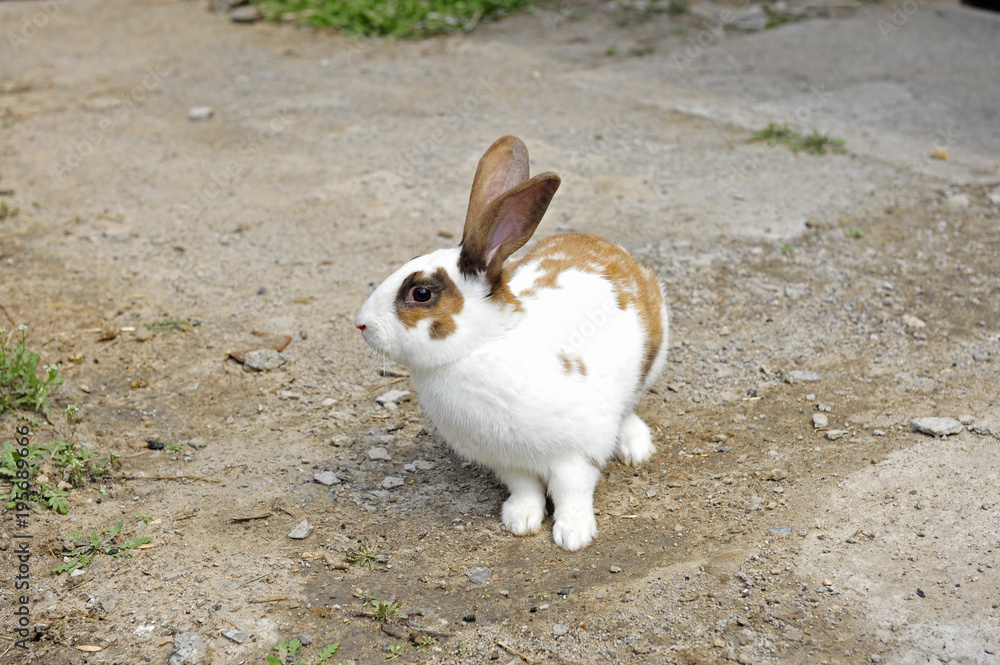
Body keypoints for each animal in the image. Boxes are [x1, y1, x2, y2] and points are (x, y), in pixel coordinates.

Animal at [355, 135, 668, 551]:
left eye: (421, 293)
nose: (361, 323)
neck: (481, 345)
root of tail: (604, 244)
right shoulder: (508, 462)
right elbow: (526, 489)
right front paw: (520, 520)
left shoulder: (578, 453)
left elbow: (572, 492)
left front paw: (573, 534)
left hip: (651, 361)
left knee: (630, 407)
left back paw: (635, 448)